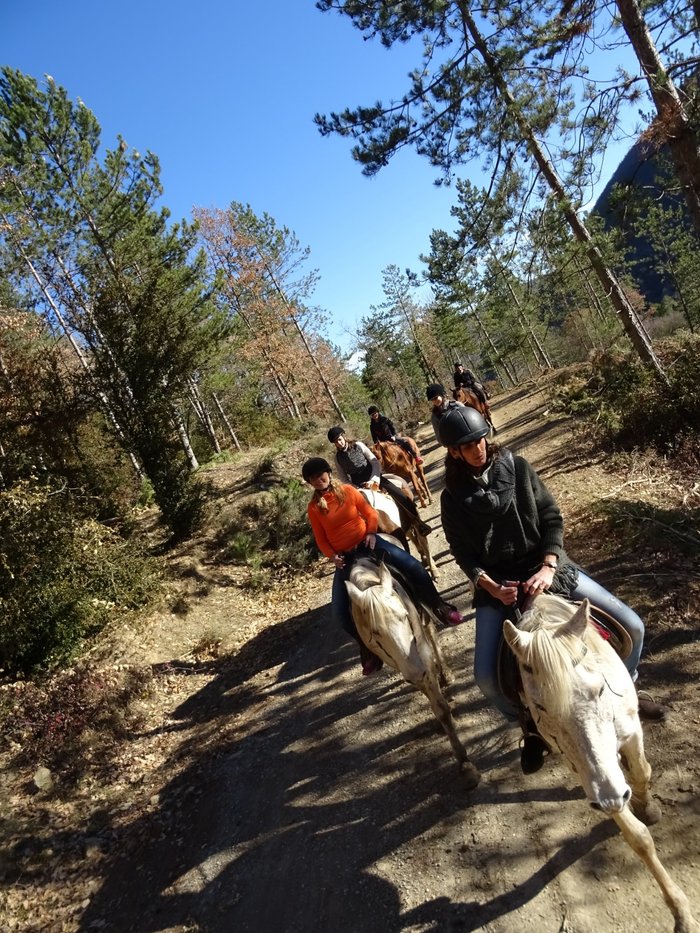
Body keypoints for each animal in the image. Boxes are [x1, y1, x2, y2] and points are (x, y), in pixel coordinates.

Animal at [344, 560, 482, 788]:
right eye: (375, 634)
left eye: (404, 616)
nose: (418, 670)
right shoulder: (404, 666)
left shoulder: (420, 651)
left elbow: (441, 708)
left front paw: (465, 765)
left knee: (431, 632)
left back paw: (445, 674)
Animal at [504, 596, 696, 932]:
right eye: (540, 706)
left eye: (600, 689)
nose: (610, 797)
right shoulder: (587, 772)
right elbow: (637, 836)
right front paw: (680, 912)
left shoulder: (631, 733)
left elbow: (641, 773)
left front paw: (647, 806)